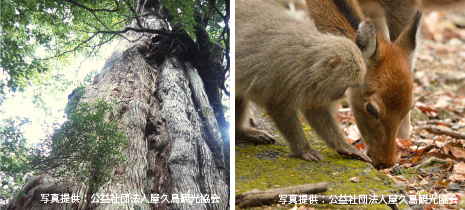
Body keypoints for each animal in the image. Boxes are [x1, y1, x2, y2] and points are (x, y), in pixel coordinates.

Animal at [234, 0, 376, 162]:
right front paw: (304, 150)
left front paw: (345, 146)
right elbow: (279, 107)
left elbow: (315, 110)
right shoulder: (284, 76)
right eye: (345, 85)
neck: (308, 63)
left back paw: (239, 132)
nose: (340, 95)